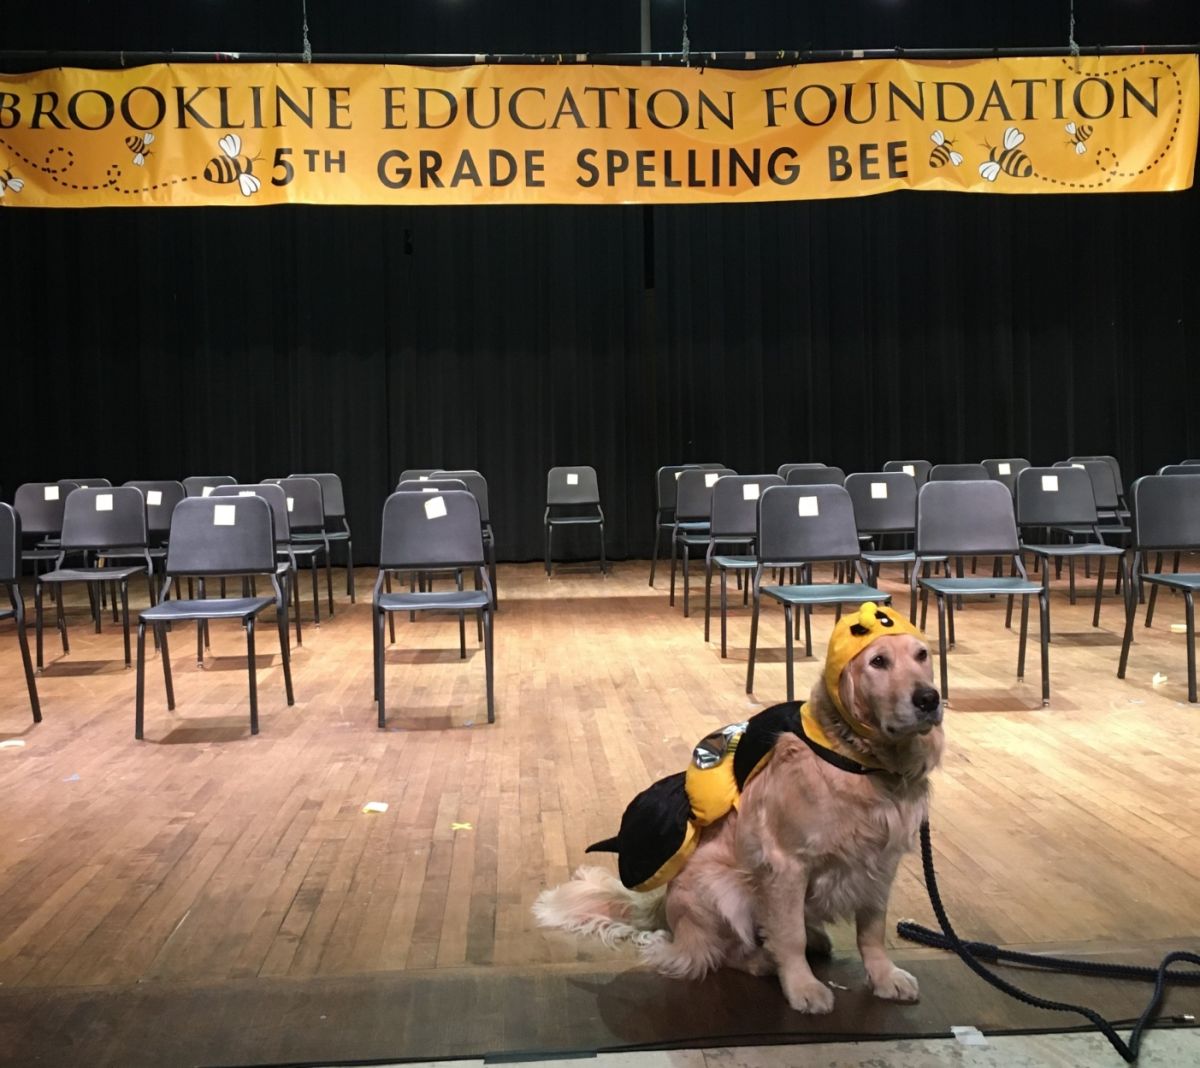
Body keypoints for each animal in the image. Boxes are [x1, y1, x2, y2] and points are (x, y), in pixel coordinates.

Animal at [534, 603, 943, 1014]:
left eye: (922, 655)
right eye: (878, 661)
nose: (929, 699)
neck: (860, 761)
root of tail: (663, 910)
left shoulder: (879, 863)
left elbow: (871, 930)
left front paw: (885, 976)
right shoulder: (786, 863)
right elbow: (789, 935)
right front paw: (802, 987)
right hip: (719, 887)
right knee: (714, 951)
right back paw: (760, 959)